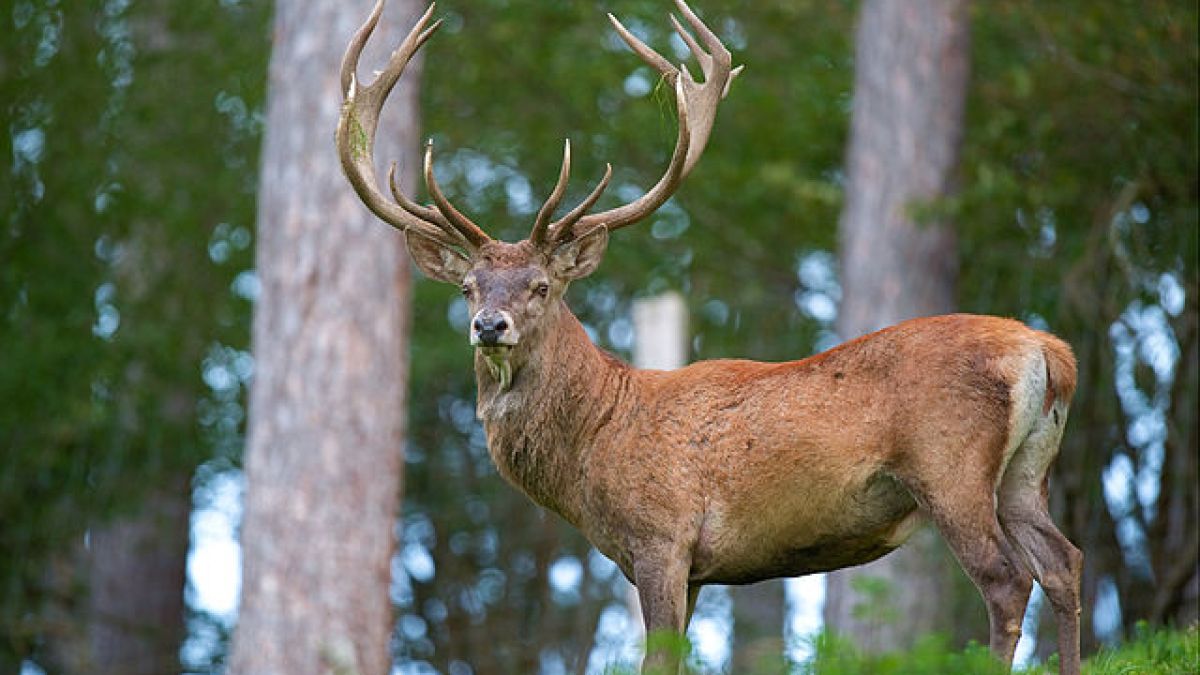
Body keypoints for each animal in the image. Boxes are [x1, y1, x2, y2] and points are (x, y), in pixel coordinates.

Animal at [336, 1, 1083, 673]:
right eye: (469, 287)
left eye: (542, 285)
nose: (489, 325)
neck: (595, 443)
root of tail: (1050, 353)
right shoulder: (692, 567)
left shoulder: (661, 538)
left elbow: (658, 660)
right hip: (1025, 473)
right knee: (1064, 562)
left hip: (949, 465)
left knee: (1006, 579)